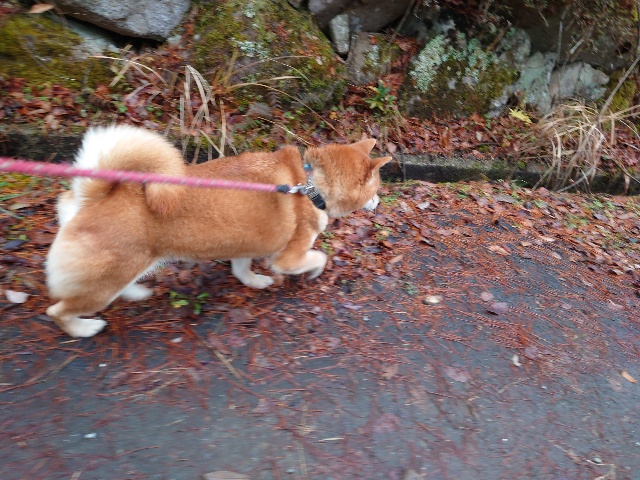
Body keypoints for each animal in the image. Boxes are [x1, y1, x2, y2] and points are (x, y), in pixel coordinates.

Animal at [45, 125, 391, 337]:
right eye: (376, 187)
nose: (379, 201)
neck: (311, 185)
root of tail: (90, 200)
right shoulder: (290, 256)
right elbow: (318, 257)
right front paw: (314, 272)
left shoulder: (245, 245)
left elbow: (242, 271)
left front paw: (255, 282)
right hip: (99, 287)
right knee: (58, 311)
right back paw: (83, 329)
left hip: (122, 269)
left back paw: (136, 293)